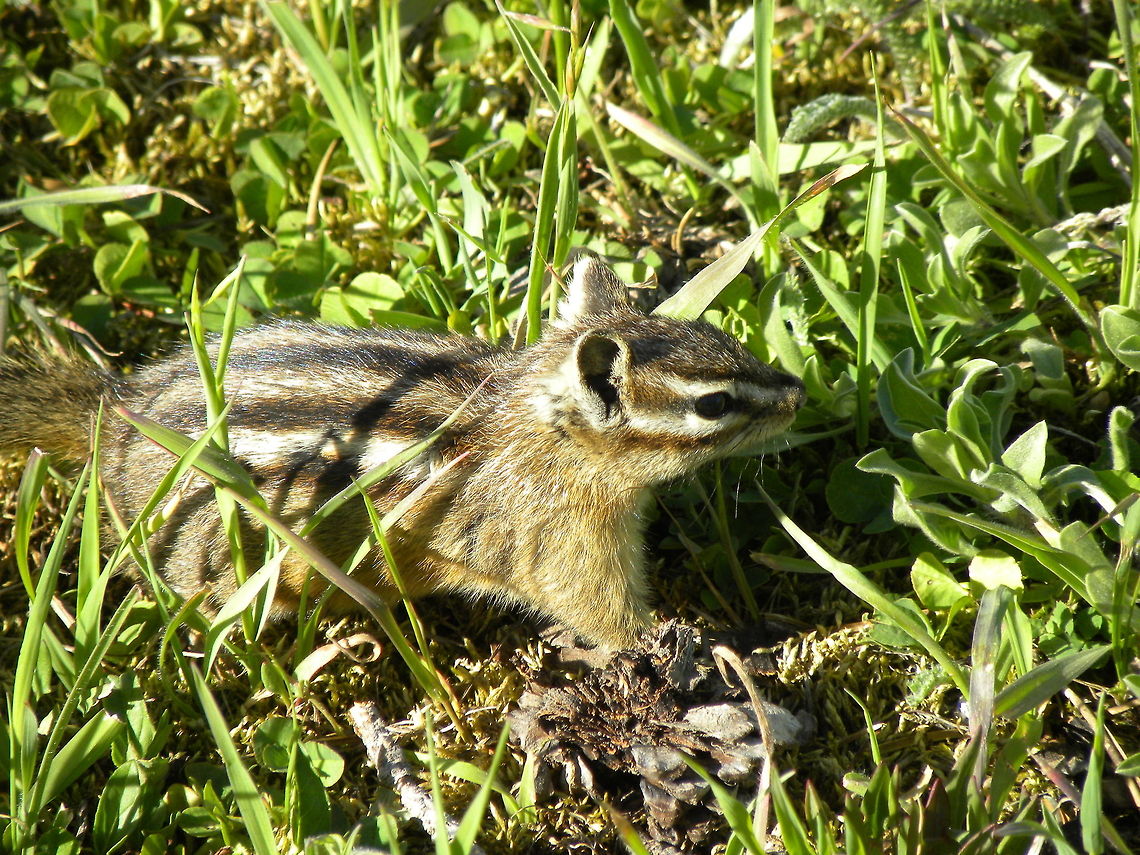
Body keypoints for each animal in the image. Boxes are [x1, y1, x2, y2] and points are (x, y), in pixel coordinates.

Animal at [0, 255, 804, 650]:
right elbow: (603, 617)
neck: (545, 436)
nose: (799, 393)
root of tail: (110, 413)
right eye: (713, 403)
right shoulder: (561, 545)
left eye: (726, 338)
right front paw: (703, 641)